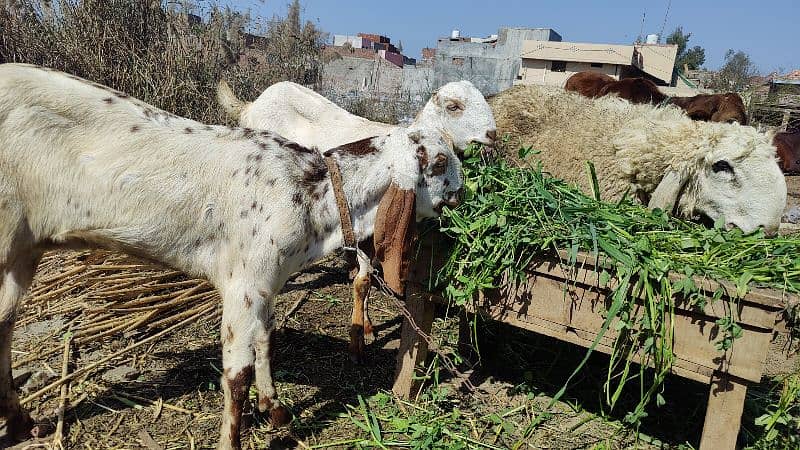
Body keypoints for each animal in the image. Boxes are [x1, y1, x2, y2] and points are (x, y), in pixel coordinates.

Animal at [0, 64, 466, 450]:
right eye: (440, 160)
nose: (463, 194)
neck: (312, 195)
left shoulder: (267, 283)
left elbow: (266, 340)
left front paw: (274, 408)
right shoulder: (244, 283)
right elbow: (236, 374)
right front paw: (234, 438)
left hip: (21, 253)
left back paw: (23, 422)